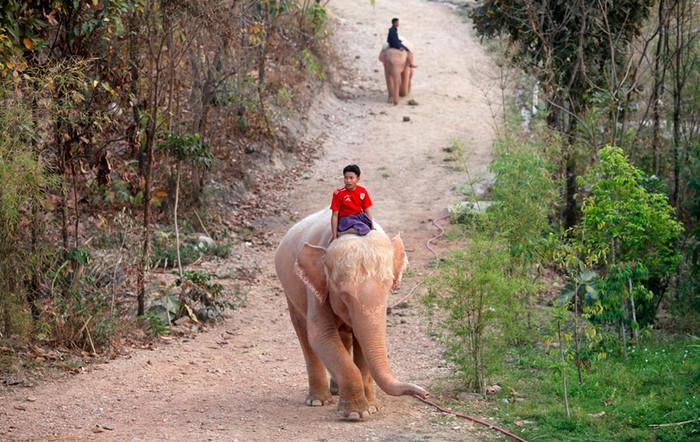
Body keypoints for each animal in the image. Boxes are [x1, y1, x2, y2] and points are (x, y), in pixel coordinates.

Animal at [274, 209, 426, 420]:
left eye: (389, 286)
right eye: (344, 294)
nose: (425, 394)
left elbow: (361, 344)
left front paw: (372, 408)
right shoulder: (316, 291)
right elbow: (321, 336)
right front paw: (356, 414)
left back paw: (337, 391)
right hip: (290, 291)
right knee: (304, 333)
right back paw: (318, 401)